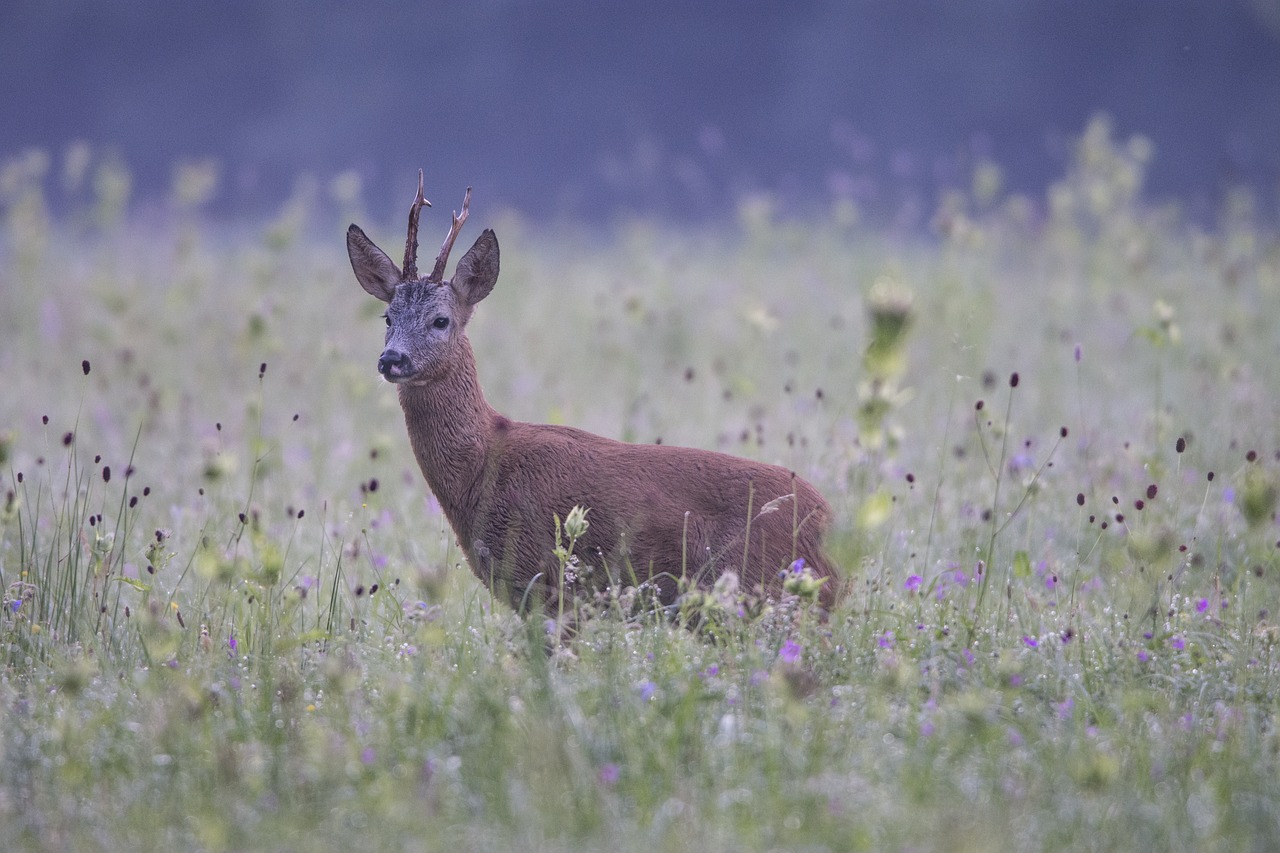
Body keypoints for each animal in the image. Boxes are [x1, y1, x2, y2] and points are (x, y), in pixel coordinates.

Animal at [343, 169, 839, 622]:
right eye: (388, 317)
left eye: (441, 320)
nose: (392, 359)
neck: (484, 464)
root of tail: (829, 524)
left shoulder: (550, 584)